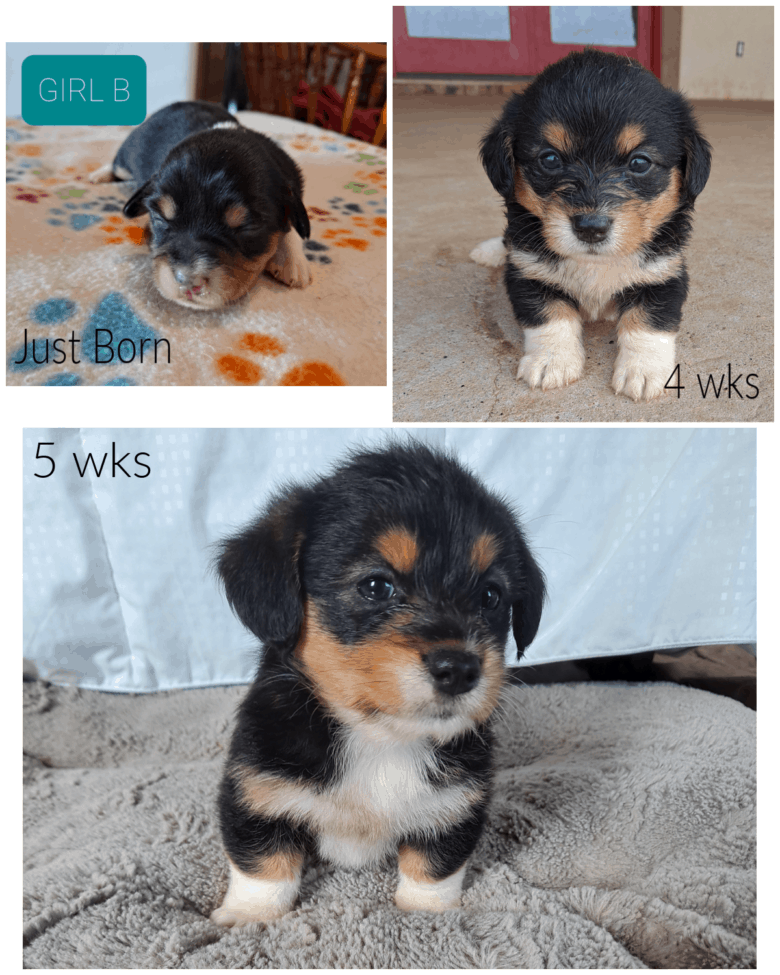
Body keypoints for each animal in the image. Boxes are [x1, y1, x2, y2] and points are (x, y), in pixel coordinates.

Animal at [90, 102, 310, 308]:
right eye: (159, 218)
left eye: (249, 227)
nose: (187, 282)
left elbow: (293, 223)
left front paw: (293, 261)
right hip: (128, 154)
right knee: (116, 164)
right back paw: (98, 175)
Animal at [210, 442, 544, 924]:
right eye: (375, 586)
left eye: (490, 596)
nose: (460, 670)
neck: (380, 739)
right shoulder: (255, 791)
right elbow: (263, 865)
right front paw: (249, 918)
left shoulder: (456, 806)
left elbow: (433, 869)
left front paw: (426, 916)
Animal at [476, 48, 712, 400]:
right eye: (549, 159)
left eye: (639, 162)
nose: (590, 228)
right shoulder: (527, 271)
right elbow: (549, 315)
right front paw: (551, 362)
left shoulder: (665, 274)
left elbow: (648, 322)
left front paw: (644, 372)